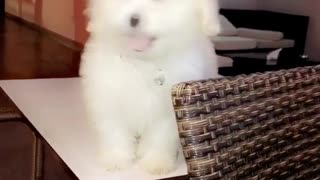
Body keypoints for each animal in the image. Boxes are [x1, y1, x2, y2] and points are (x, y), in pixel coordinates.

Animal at [79, 0, 220, 175]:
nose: (133, 19)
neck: (143, 62)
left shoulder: (167, 114)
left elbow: (159, 138)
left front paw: (156, 162)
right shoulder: (107, 99)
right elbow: (114, 132)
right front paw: (116, 159)